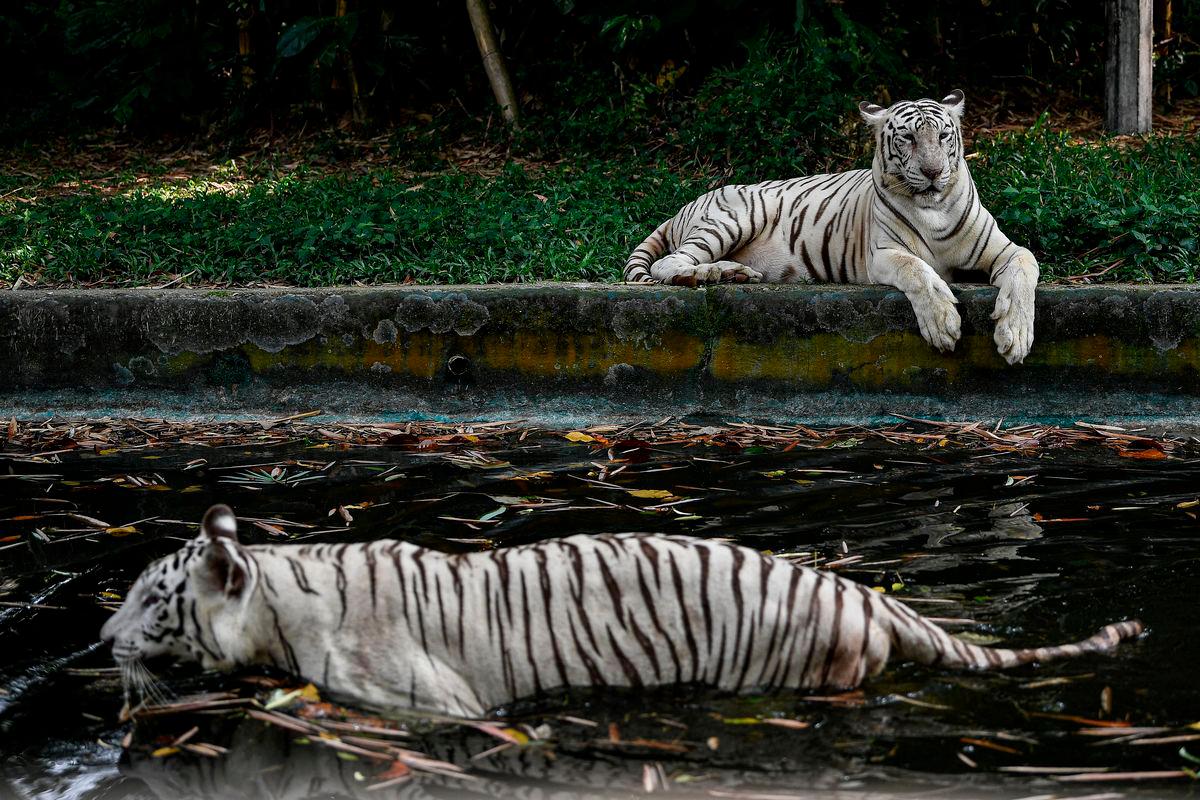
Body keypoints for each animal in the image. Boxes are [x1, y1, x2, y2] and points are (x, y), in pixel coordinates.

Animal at [623, 90, 1039, 365]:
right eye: (908, 138)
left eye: (942, 136)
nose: (934, 172)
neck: (932, 206)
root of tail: (686, 205)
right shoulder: (883, 255)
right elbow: (919, 272)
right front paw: (942, 323)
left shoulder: (1004, 249)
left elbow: (1024, 268)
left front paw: (1016, 334)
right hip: (733, 218)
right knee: (668, 264)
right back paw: (705, 275)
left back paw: (735, 274)